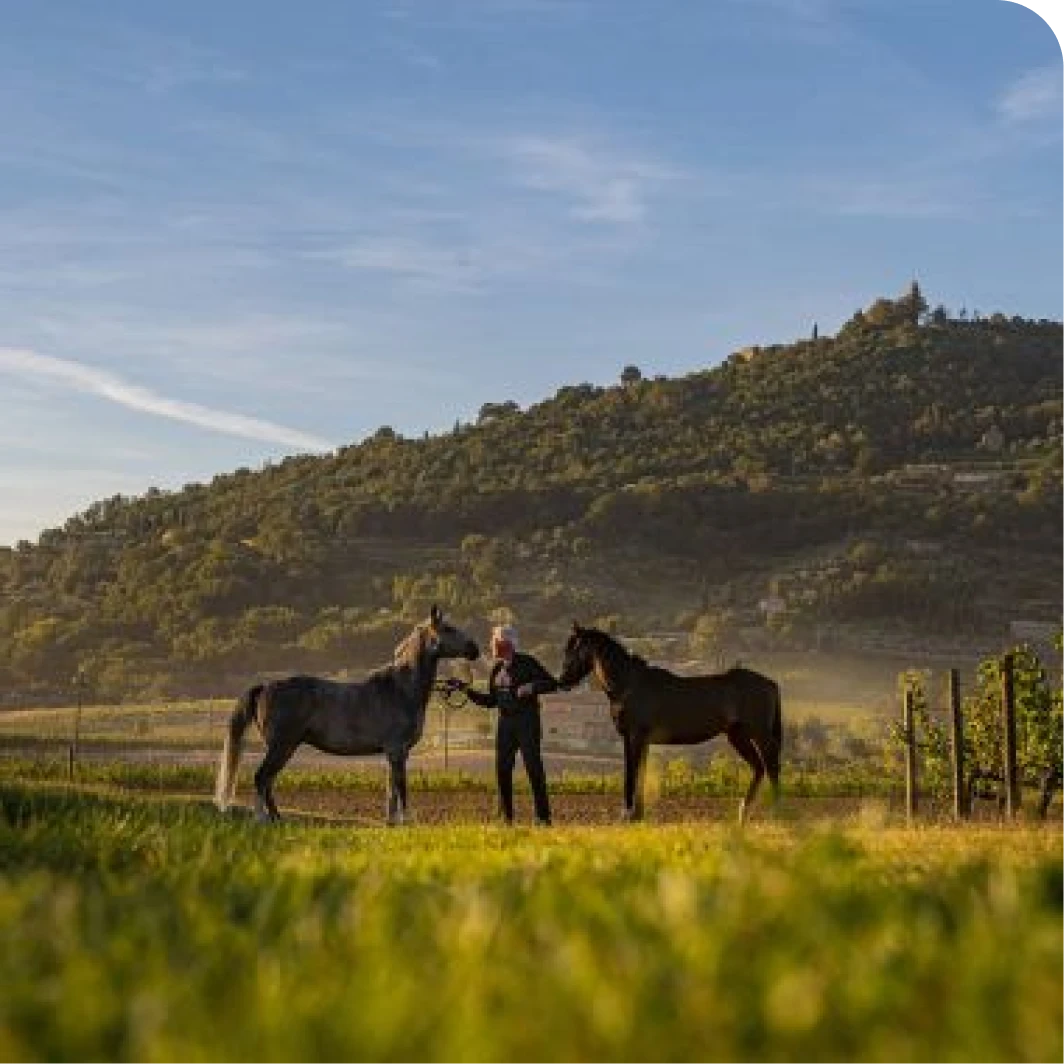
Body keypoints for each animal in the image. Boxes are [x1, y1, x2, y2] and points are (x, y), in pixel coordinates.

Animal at [215, 605, 479, 824]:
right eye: (448, 628)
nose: (474, 649)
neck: (400, 689)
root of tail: (265, 687)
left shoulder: (392, 753)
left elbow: (391, 788)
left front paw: (391, 822)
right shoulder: (398, 750)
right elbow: (401, 786)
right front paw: (407, 821)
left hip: (284, 748)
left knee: (268, 782)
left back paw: (278, 819)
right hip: (282, 747)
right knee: (261, 778)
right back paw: (262, 819)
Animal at [557, 623, 783, 824]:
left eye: (574, 648)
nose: (562, 681)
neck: (629, 684)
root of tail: (770, 683)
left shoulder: (634, 737)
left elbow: (632, 773)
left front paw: (628, 815)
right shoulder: (641, 740)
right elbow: (640, 773)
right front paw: (637, 815)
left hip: (759, 734)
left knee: (770, 764)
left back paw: (777, 813)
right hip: (738, 736)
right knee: (759, 767)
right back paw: (743, 812)